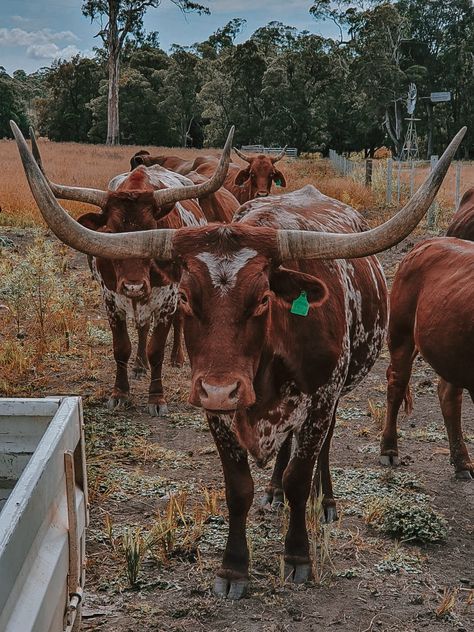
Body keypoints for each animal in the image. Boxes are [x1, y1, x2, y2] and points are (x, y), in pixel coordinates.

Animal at [26, 126, 233, 418]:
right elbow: (121, 347)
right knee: (142, 326)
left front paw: (156, 397)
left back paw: (176, 358)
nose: (133, 286)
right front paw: (120, 392)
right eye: (111, 232)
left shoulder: (167, 300)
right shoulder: (111, 300)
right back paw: (139, 365)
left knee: (177, 320)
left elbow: (157, 348)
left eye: (153, 229)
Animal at [380, 188, 474, 478]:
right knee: (396, 382)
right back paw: (389, 449)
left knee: (448, 394)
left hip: (452, 350)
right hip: (400, 334)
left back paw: (461, 461)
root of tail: (427, 243)